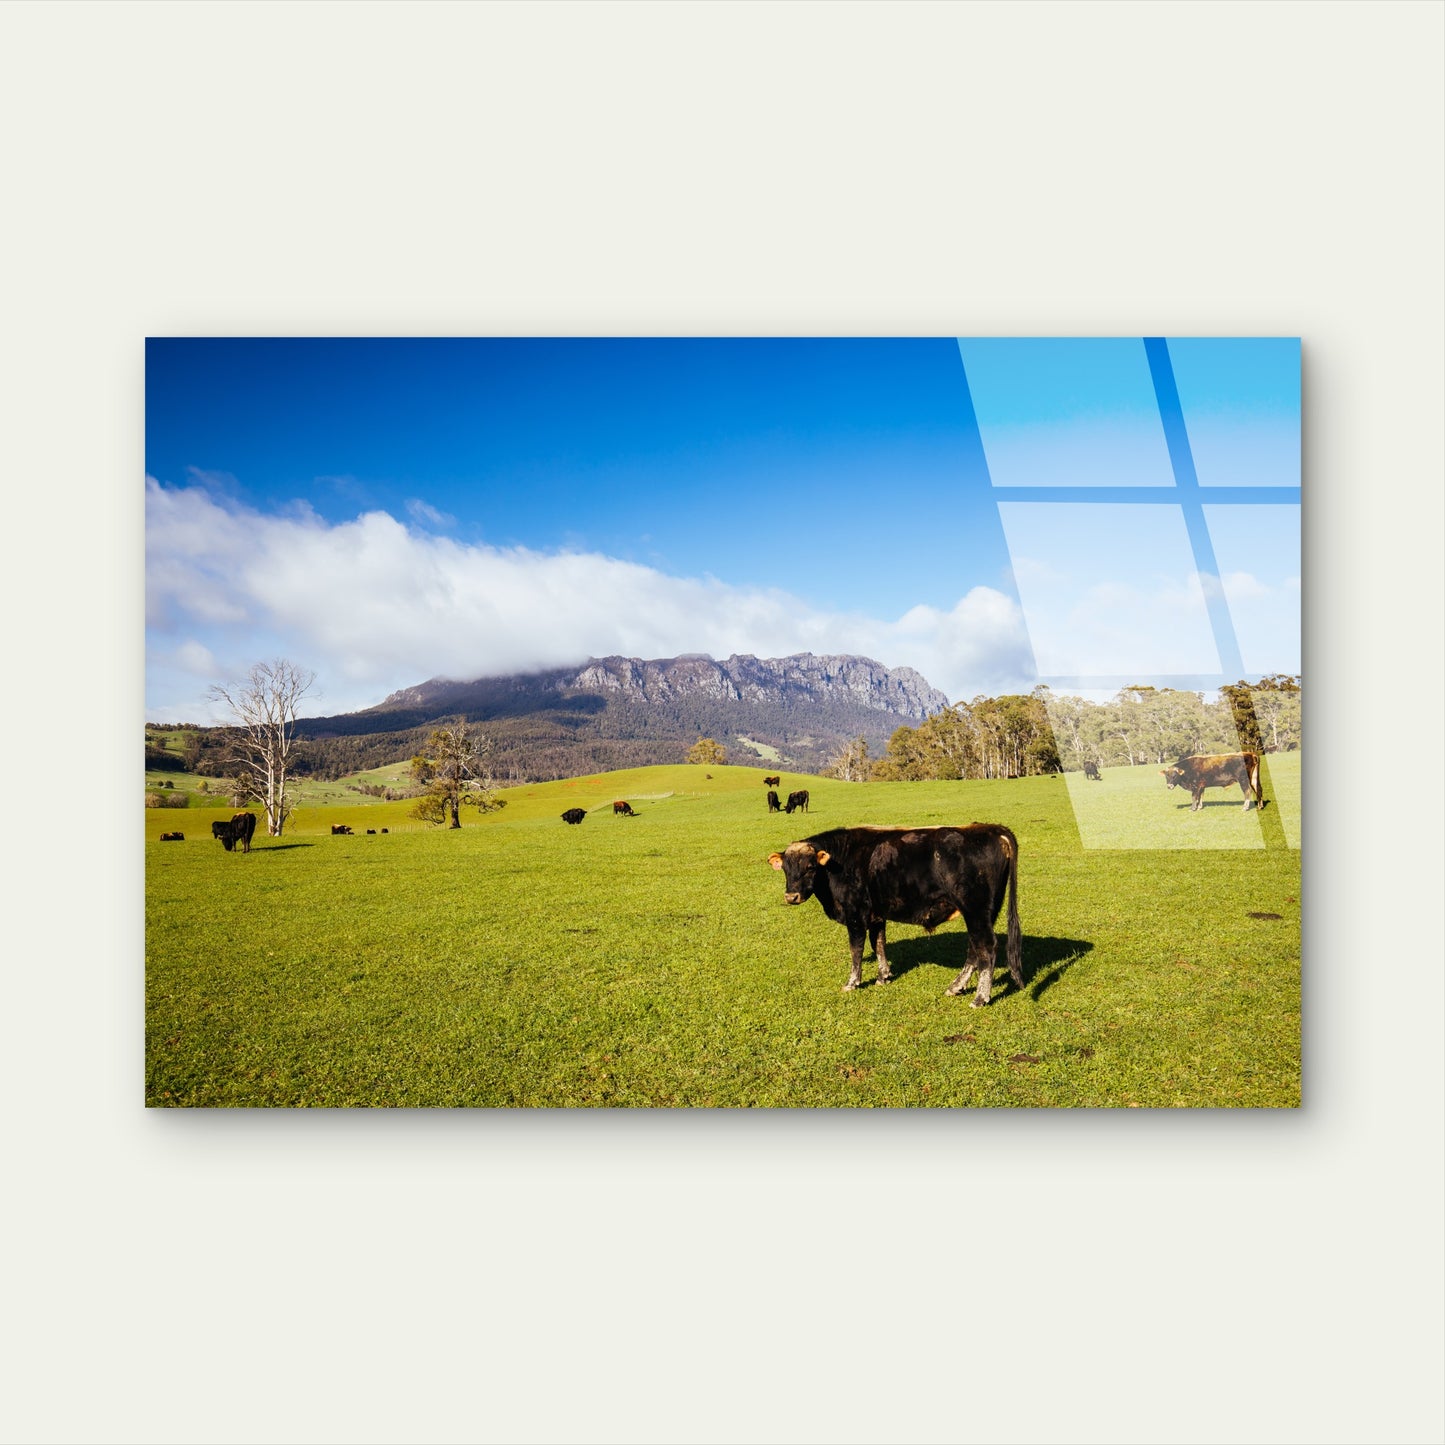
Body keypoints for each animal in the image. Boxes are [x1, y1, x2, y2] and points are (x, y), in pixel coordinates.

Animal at [769, 823, 1022, 1006]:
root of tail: (988, 828)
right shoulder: (876, 915)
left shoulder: (855, 914)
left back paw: (980, 998)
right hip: (985, 912)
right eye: (785, 869)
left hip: (975, 909)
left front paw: (852, 982)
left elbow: (856, 949)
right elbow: (878, 944)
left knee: (986, 947)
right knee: (974, 948)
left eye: (810, 867)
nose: (791, 896)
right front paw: (883, 977)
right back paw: (956, 987)